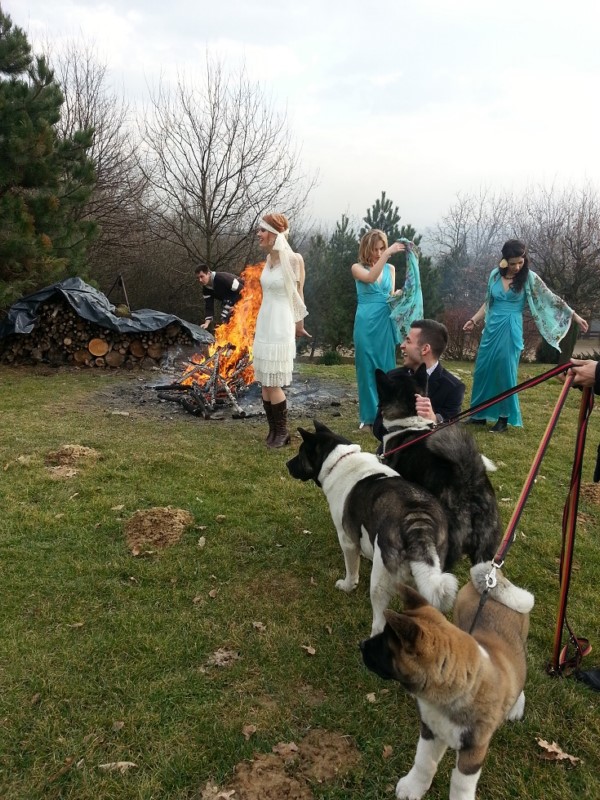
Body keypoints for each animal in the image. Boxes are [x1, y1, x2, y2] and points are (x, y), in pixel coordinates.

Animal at [360, 564, 536, 800]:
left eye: (384, 646)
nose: (361, 646)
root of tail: (495, 580)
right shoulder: (431, 729)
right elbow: (424, 761)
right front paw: (413, 787)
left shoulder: (473, 750)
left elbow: (461, 786)